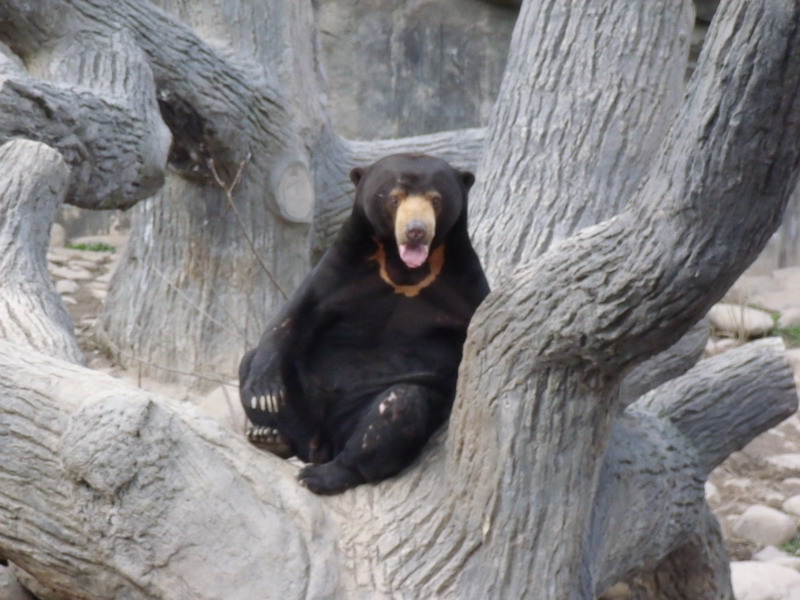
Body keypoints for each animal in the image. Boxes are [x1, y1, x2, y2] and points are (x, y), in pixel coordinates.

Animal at [238, 152, 488, 494]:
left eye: (436, 200)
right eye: (394, 198)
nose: (416, 231)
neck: (404, 268)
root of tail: (322, 444)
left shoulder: (466, 287)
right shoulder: (341, 269)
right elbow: (295, 315)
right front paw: (264, 392)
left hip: (359, 418)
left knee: (397, 407)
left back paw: (321, 475)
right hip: (306, 414)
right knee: (248, 362)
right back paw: (270, 436)